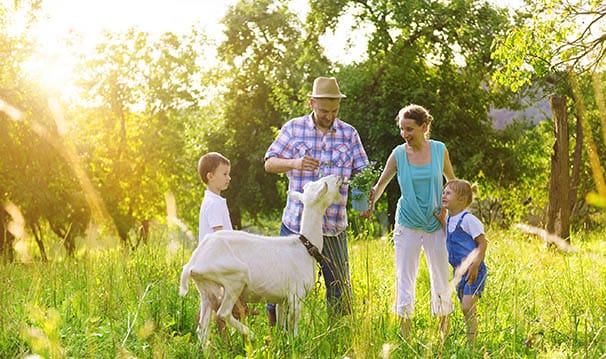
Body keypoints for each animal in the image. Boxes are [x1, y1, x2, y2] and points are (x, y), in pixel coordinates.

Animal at [178, 176, 344, 344]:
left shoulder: (282, 299)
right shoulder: (296, 295)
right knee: (222, 313)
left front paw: (280, 342)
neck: (305, 246)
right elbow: (293, 324)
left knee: (202, 329)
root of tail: (194, 261)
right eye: (324, 186)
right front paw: (294, 344)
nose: (337, 177)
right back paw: (250, 334)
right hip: (233, 278)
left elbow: (281, 323)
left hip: (206, 289)